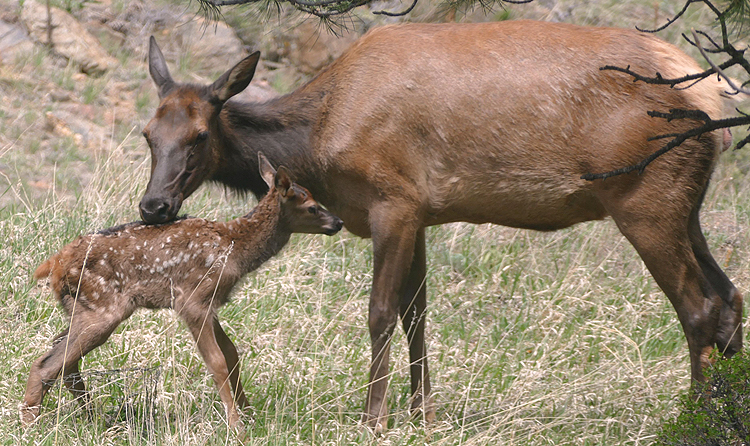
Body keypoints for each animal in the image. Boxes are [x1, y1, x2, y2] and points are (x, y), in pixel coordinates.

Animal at [20, 154, 344, 428]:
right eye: (312, 206)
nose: (338, 222)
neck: (235, 247)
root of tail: (55, 264)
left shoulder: (211, 303)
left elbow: (232, 354)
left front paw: (249, 414)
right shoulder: (192, 299)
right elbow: (217, 362)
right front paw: (237, 427)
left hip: (80, 306)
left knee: (60, 355)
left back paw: (90, 415)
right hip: (104, 308)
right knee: (47, 364)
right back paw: (31, 424)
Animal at [138, 21, 744, 432]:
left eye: (199, 135)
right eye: (147, 133)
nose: (153, 207)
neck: (317, 144)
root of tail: (714, 96)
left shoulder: (394, 201)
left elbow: (381, 312)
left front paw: (375, 418)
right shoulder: (422, 213)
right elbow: (418, 315)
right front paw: (423, 413)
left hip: (647, 202)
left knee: (698, 306)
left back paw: (693, 417)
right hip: (686, 206)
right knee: (729, 296)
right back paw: (729, 414)